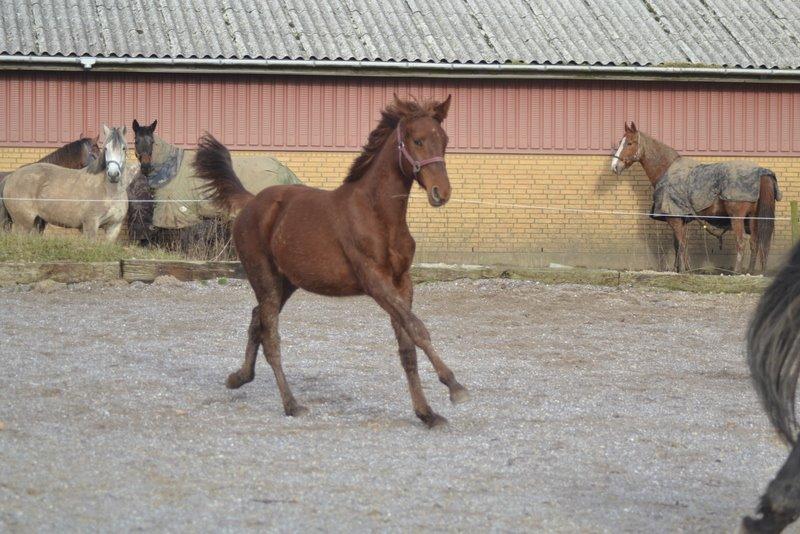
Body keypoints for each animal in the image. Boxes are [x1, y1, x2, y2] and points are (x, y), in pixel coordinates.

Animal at [194, 96, 468, 430]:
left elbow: (407, 346)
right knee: (270, 335)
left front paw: (427, 414)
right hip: (264, 277)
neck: (378, 215)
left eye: (444, 141)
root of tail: (251, 201)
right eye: (417, 140)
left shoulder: (402, 282)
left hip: (286, 283)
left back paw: (239, 377)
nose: (442, 193)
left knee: (257, 319)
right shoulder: (375, 281)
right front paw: (455, 387)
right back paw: (291, 404)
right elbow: (417, 329)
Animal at [612, 121, 776, 272]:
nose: (614, 166)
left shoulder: (674, 218)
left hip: (737, 217)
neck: (667, 170)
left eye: (629, 143)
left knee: (741, 242)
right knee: (754, 243)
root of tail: (760, 172)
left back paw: (736, 272)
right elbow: (679, 244)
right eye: (620, 142)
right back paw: (750, 271)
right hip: (753, 217)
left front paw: (684, 270)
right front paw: (681, 268)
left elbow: (682, 243)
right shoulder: (681, 218)